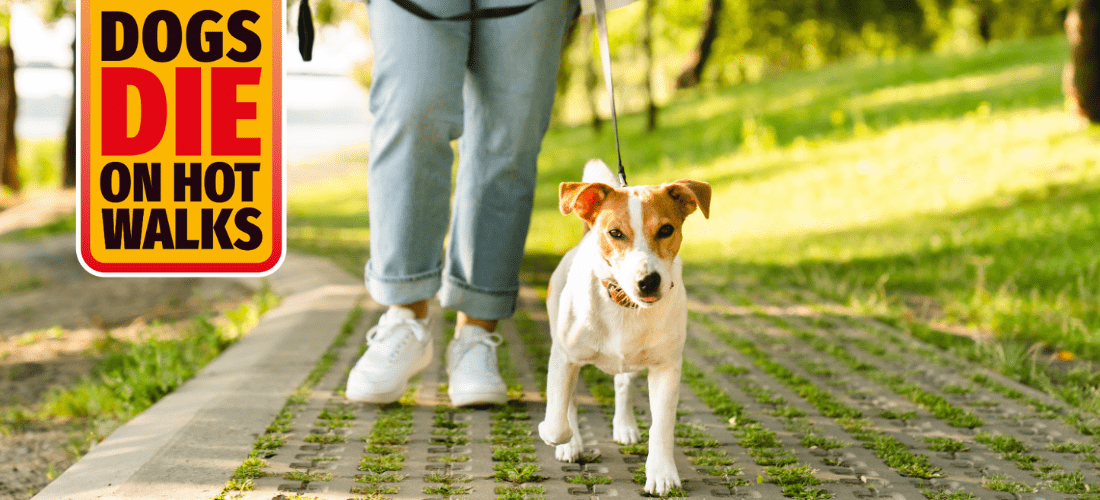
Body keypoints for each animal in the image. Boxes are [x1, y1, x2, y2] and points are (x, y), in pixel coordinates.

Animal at [534, 158, 708, 494]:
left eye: (666, 230)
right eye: (615, 233)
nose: (648, 281)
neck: (624, 304)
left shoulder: (666, 366)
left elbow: (662, 426)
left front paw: (661, 473)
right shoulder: (564, 358)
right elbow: (560, 414)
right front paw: (559, 436)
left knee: (623, 383)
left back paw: (624, 426)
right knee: (571, 400)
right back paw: (571, 443)